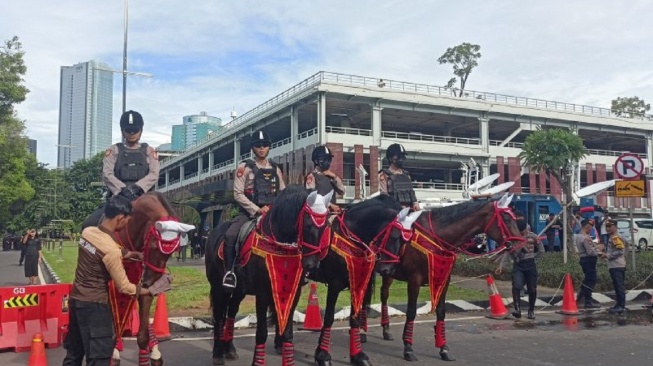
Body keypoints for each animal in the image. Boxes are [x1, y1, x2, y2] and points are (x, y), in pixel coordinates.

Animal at [205, 186, 332, 366]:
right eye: (307, 224)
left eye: (325, 226)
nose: (312, 265)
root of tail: (214, 233)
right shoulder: (263, 293)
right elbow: (262, 332)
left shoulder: (293, 292)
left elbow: (287, 331)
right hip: (217, 286)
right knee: (218, 315)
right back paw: (217, 353)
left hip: (239, 290)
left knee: (231, 313)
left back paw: (229, 349)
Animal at [366, 193, 524, 362]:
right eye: (507, 220)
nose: (522, 250)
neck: (435, 237)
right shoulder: (414, 280)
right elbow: (411, 311)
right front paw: (408, 348)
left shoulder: (444, 279)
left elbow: (441, 311)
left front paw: (444, 348)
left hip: (389, 272)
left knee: (384, 294)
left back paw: (386, 330)